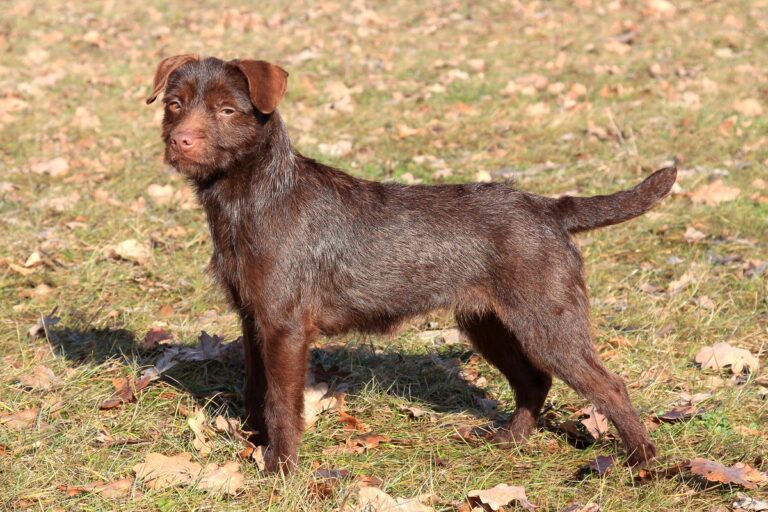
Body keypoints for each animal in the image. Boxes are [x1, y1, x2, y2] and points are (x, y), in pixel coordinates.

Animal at [147, 55, 676, 472]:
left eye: (227, 109)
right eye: (175, 104)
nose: (181, 142)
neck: (254, 197)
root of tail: (549, 207)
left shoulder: (285, 326)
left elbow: (281, 401)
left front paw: (281, 468)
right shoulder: (253, 318)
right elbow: (255, 389)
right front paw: (256, 446)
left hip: (548, 322)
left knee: (609, 385)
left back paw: (642, 462)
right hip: (488, 323)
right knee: (534, 380)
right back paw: (509, 439)